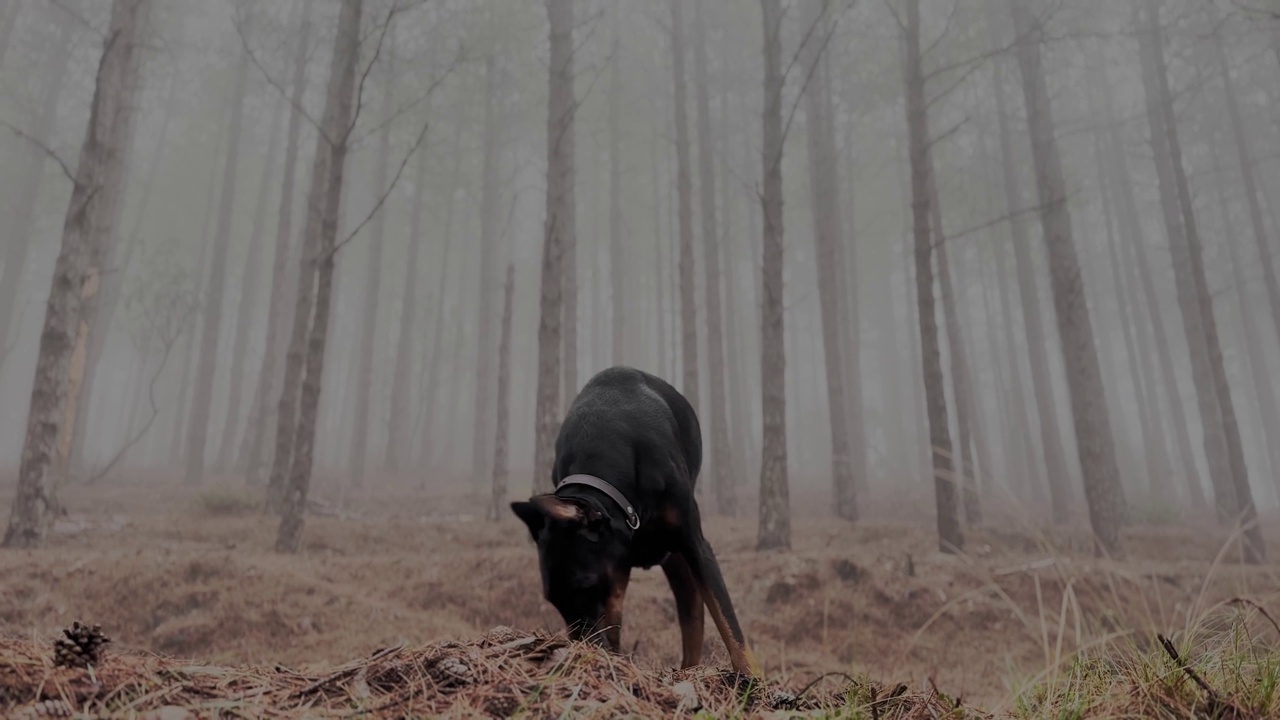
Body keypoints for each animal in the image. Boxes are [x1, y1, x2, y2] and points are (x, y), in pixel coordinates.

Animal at [514, 366, 762, 676]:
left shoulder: (695, 545)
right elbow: (613, 625)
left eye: (585, 584)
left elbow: (729, 624)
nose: (582, 654)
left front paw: (752, 677)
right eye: (553, 600)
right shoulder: (617, 575)